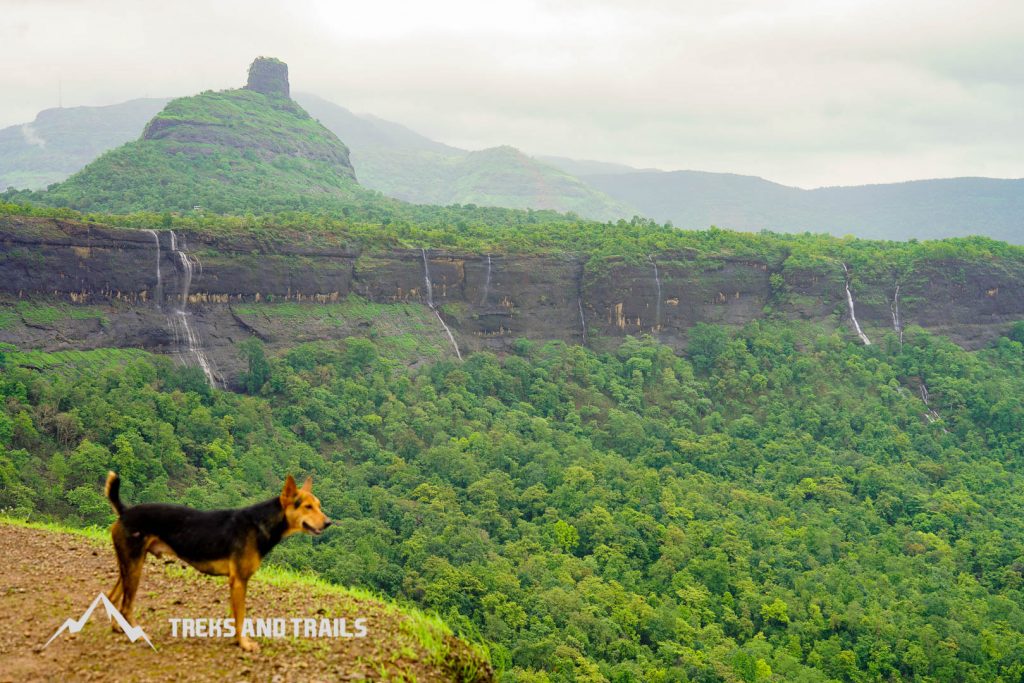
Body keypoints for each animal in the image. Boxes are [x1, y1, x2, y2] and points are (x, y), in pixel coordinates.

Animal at [103, 471, 329, 651]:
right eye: (308, 507)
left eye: (319, 506)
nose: (329, 523)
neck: (261, 523)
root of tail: (125, 511)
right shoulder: (239, 581)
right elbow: (241, 617)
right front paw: (244, 644)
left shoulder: (235, 583)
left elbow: (235, 616)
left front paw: (236, 640)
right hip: (134, 565)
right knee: (125, 607)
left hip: (131, 564)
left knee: (112, 596)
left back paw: (118, 628)